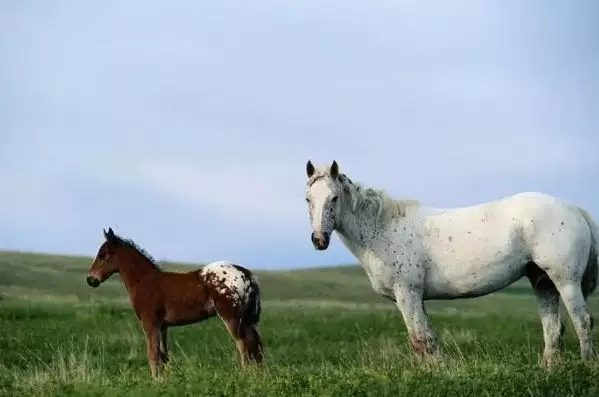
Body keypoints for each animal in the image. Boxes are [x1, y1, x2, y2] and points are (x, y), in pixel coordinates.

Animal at [308, 159, 596, 364]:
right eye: (308, 199)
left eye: (334, 198)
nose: (319, 239)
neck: (384, 229)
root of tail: (574, 209)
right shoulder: (415, 298)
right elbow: (428, 340)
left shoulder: (408, 294)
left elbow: (419, 339)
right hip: (542, 281)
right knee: (553, 328)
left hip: (565, 281)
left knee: (582, 321)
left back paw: (586, 365)